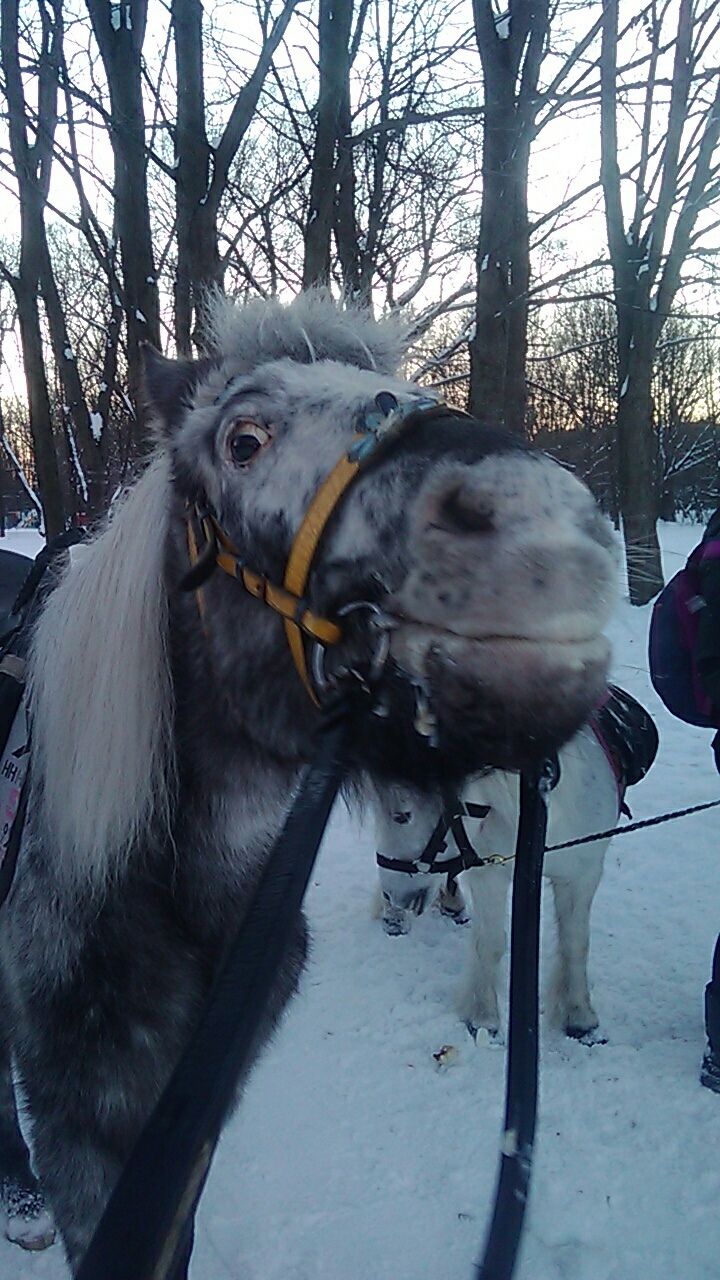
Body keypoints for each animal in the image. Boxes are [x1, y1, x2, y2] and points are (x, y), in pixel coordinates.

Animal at [371, 716, 630, 1044]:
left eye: (403, 816)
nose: (394, 896)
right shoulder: (490, 873)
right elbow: (491, 943)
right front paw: (483, 1018)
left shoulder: (583, 873)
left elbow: (576, 943)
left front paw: (580, 1017)